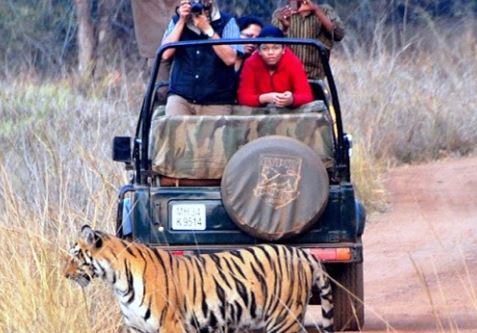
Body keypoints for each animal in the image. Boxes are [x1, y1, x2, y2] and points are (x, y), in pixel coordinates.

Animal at [63, 224, 332, 330]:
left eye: (75, 256)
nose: (65, 275)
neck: (117, 281)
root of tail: (302, 253)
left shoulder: (170, 325)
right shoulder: (136, 328)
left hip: (284, 318)